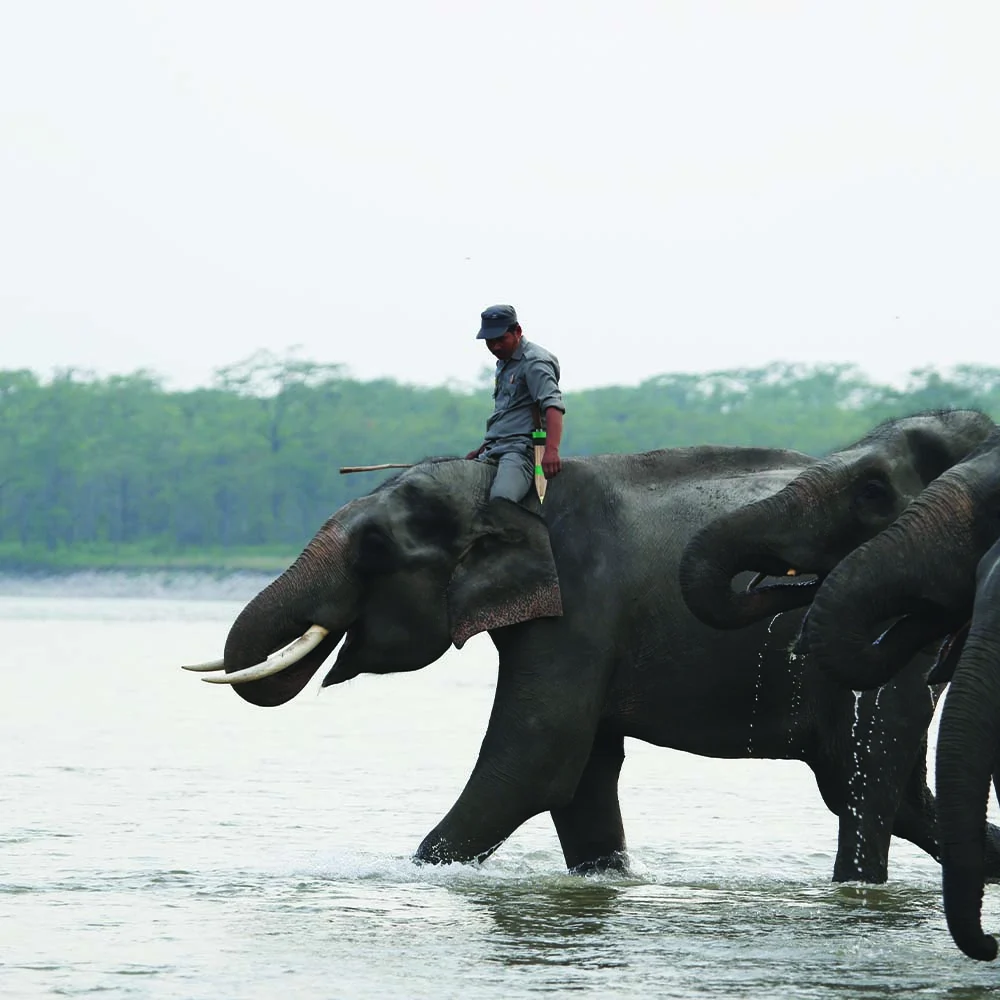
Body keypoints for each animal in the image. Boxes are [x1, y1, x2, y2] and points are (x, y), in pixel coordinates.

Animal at [183, 410, 1000, 884]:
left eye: (377, 547)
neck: (498, 482)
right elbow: (581, 780)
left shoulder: (582, 606)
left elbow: (533, 765)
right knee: (887, 793)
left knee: (864, 788)